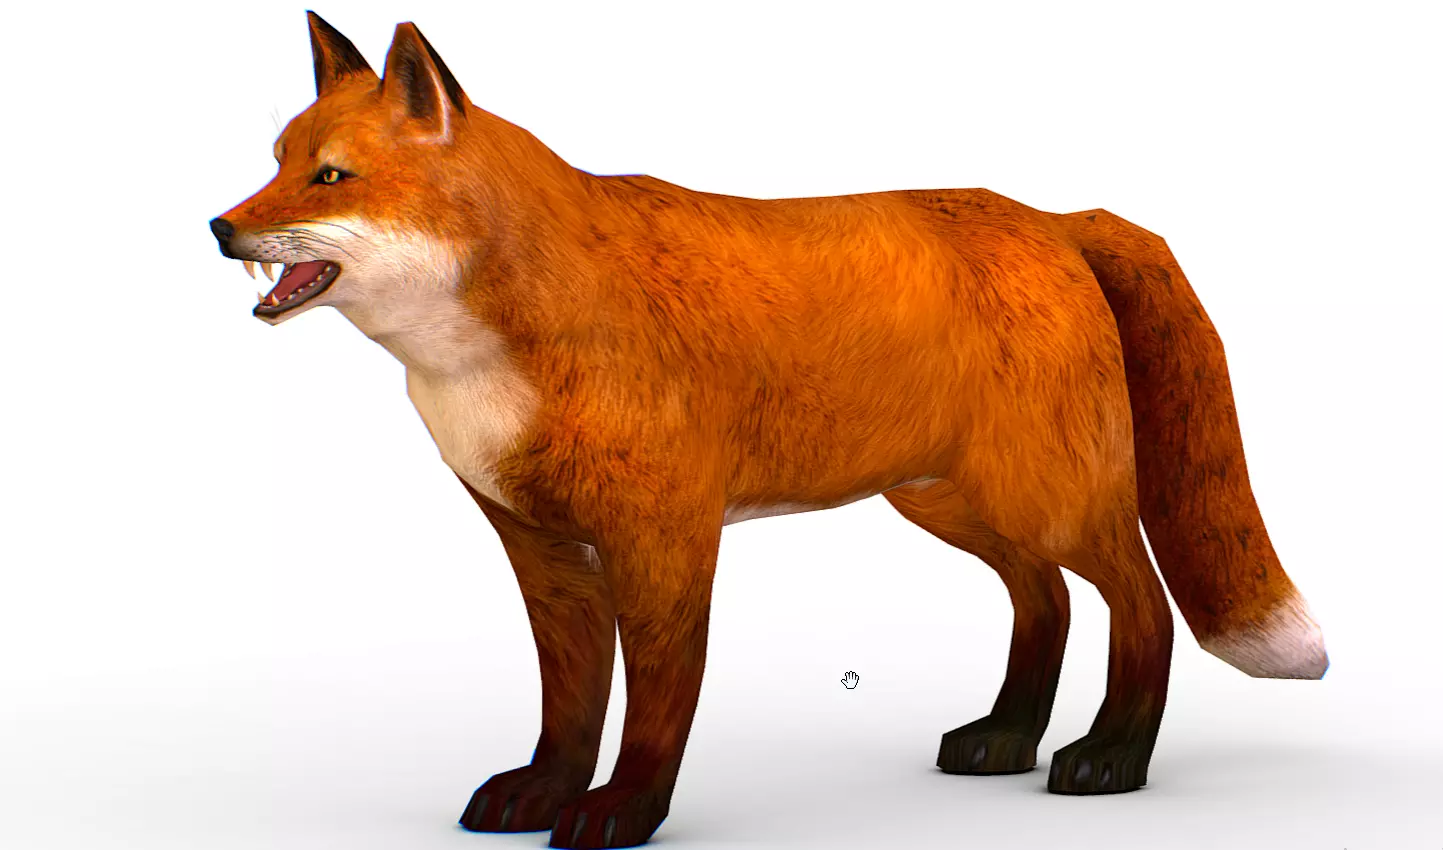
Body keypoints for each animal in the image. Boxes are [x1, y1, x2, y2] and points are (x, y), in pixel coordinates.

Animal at [210, 12, 1328, 849]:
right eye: (274, 160)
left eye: (331, 178)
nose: (219, 227)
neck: (493, 356)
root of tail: (1056, 218)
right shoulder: (543, 552)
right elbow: (568, 706)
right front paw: (543, 792)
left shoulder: (664, 539)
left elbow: (657, 704)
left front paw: (624, 810)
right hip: (953, 502)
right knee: (1042, 601)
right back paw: (1007, 735)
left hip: (1050, 498)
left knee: (1140, 602)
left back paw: (1112, 757)